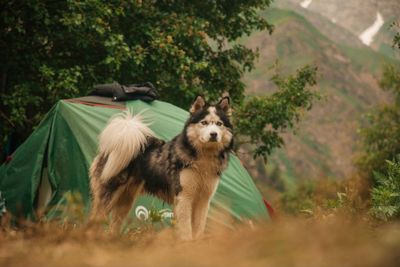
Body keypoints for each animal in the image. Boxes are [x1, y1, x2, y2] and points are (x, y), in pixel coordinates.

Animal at [89, 95, 233, 240]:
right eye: (204, 123)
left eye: (219, 124)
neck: (203, 158)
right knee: (92, 224)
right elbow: (186, 231)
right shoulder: (184, 197)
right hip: (109, 197)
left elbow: (198, 230)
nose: (214, 134)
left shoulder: (203, 200)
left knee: (113, 226)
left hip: (125, 201)